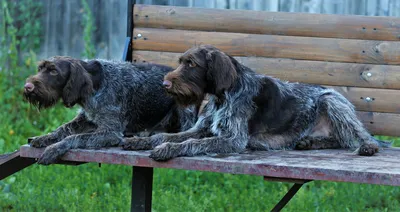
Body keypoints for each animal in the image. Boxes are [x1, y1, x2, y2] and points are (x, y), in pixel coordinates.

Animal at [23, 56, 198, 166]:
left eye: (54, 71)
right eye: (40, 68)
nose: (27, 87)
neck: (95, 84)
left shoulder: (110, 132)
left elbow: (74, 137)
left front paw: (54, 148)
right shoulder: (86, 118)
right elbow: (62, 129)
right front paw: (45, 137)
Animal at [122, 44, 390, 161]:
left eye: (191, 64)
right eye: (180, 62)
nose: (164, 84)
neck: (221, 97)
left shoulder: (232, 139)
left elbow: (190, 143)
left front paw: (167, 149)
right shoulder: (200, 129)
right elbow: (165, 135)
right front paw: (141, 141)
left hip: (331, 100)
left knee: (359, 136)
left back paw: (367, 146)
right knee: (339, 139)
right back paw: (309, 142)